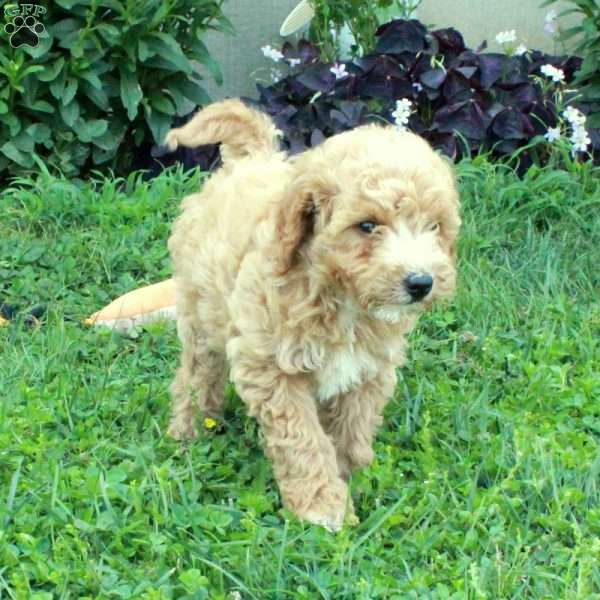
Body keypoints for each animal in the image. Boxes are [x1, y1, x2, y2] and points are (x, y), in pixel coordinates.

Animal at [164, 98, 460, 528]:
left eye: (434, 226)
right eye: (366, 225)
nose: (420, 282)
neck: (342, 299)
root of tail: (253, 158)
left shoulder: (369, 371)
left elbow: (351, 430)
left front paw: (350, 476)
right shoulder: (271, 367)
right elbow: (303, 440)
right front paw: (322, 505)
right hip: (198, 309)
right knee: (197, 373)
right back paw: (188, 431)